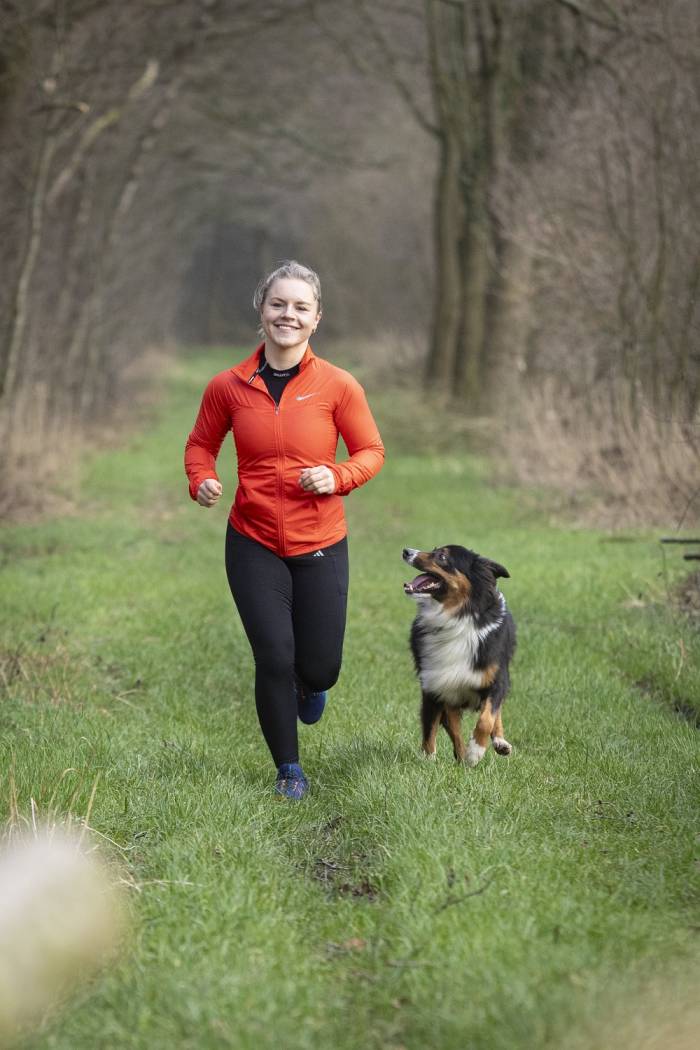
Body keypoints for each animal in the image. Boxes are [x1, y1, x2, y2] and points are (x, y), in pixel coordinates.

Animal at [405, 546, 514, 768]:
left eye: (442, 556)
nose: (406, 551)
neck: (456, 616)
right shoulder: (436, 686)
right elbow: (432, 729)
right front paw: (430, 761)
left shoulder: (497, 678)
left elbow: (487, 718)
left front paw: (476, 752)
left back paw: (499, 742)